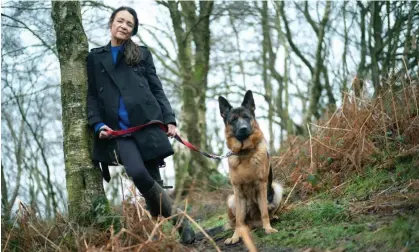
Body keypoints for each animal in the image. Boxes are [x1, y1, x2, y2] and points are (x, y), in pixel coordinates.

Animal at [218, 90, 284, 244]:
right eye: (234, 119)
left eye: (246, 117)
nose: (243, 128)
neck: (244, 153)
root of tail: (254, 223)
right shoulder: (238, 191)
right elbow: (239, 220)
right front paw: (235, 236)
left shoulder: (261, 186)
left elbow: (264, 212)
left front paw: (268, 229)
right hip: (232, 199)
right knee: (237, 221)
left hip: (276, 189)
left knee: (268, 212)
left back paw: (272, 219)